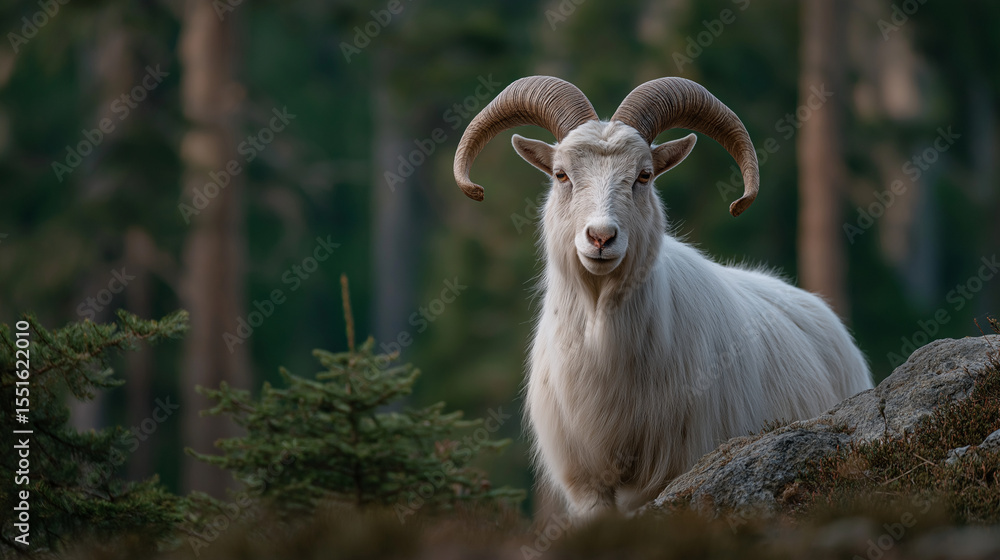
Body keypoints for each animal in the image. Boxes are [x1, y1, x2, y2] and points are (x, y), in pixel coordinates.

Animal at [453, 76, 873, 519]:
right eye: (561, 174)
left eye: (644, 175)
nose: (600, 237)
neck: (603, 341)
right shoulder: (588, 487)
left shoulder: (665, 476)